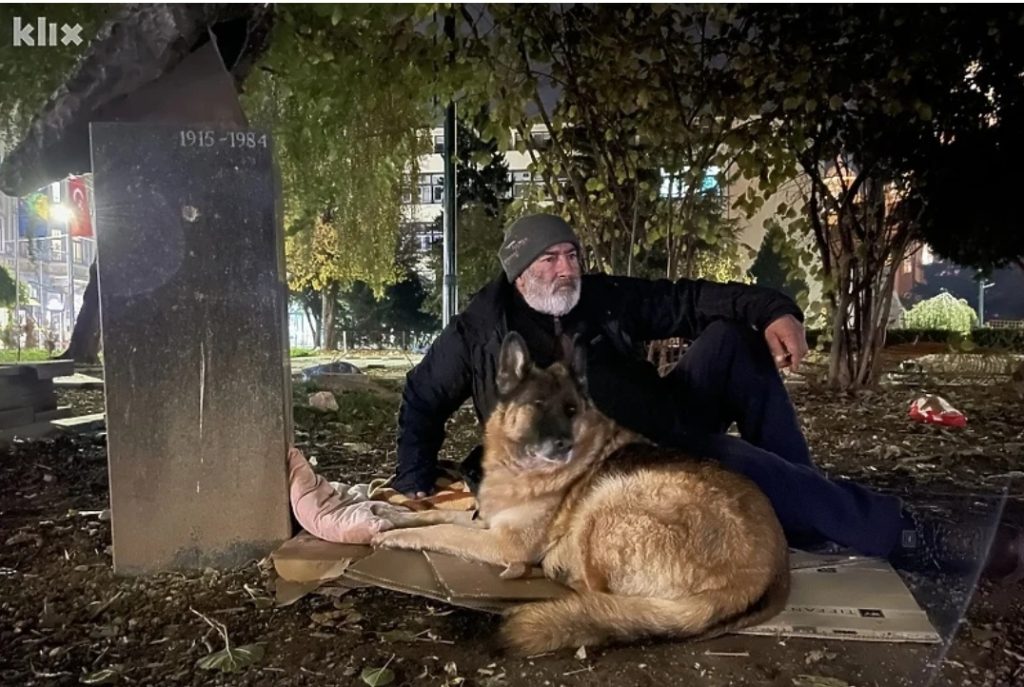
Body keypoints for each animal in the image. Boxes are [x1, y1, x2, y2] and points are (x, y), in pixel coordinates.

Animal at [372, 333, 786, 655]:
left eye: (571, 410)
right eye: (538, 407)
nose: (564, 446)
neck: (519, 468)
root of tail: (760, 575)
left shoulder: (505, 542)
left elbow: (442, 531)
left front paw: (398, 536)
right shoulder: (488, 521)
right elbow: (438, 514)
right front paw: (392, 515)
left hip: (608, 502)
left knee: (595, 594)